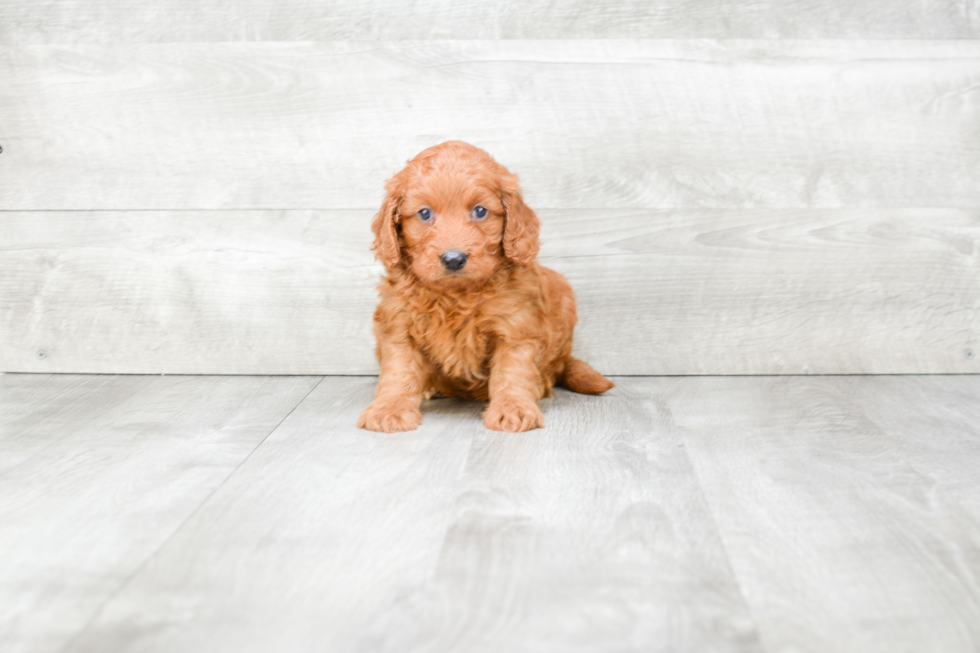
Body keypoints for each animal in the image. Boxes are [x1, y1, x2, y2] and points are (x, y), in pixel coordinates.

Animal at [356, 140, 616, 430]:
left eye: (480, 211)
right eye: (424, 213)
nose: (454, 259)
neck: (456, 295)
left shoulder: (516, 327)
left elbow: (512, 371)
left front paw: (513, 408)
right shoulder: (399, 323)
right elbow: (399, 371)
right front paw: (389, 409)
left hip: (563, 294)